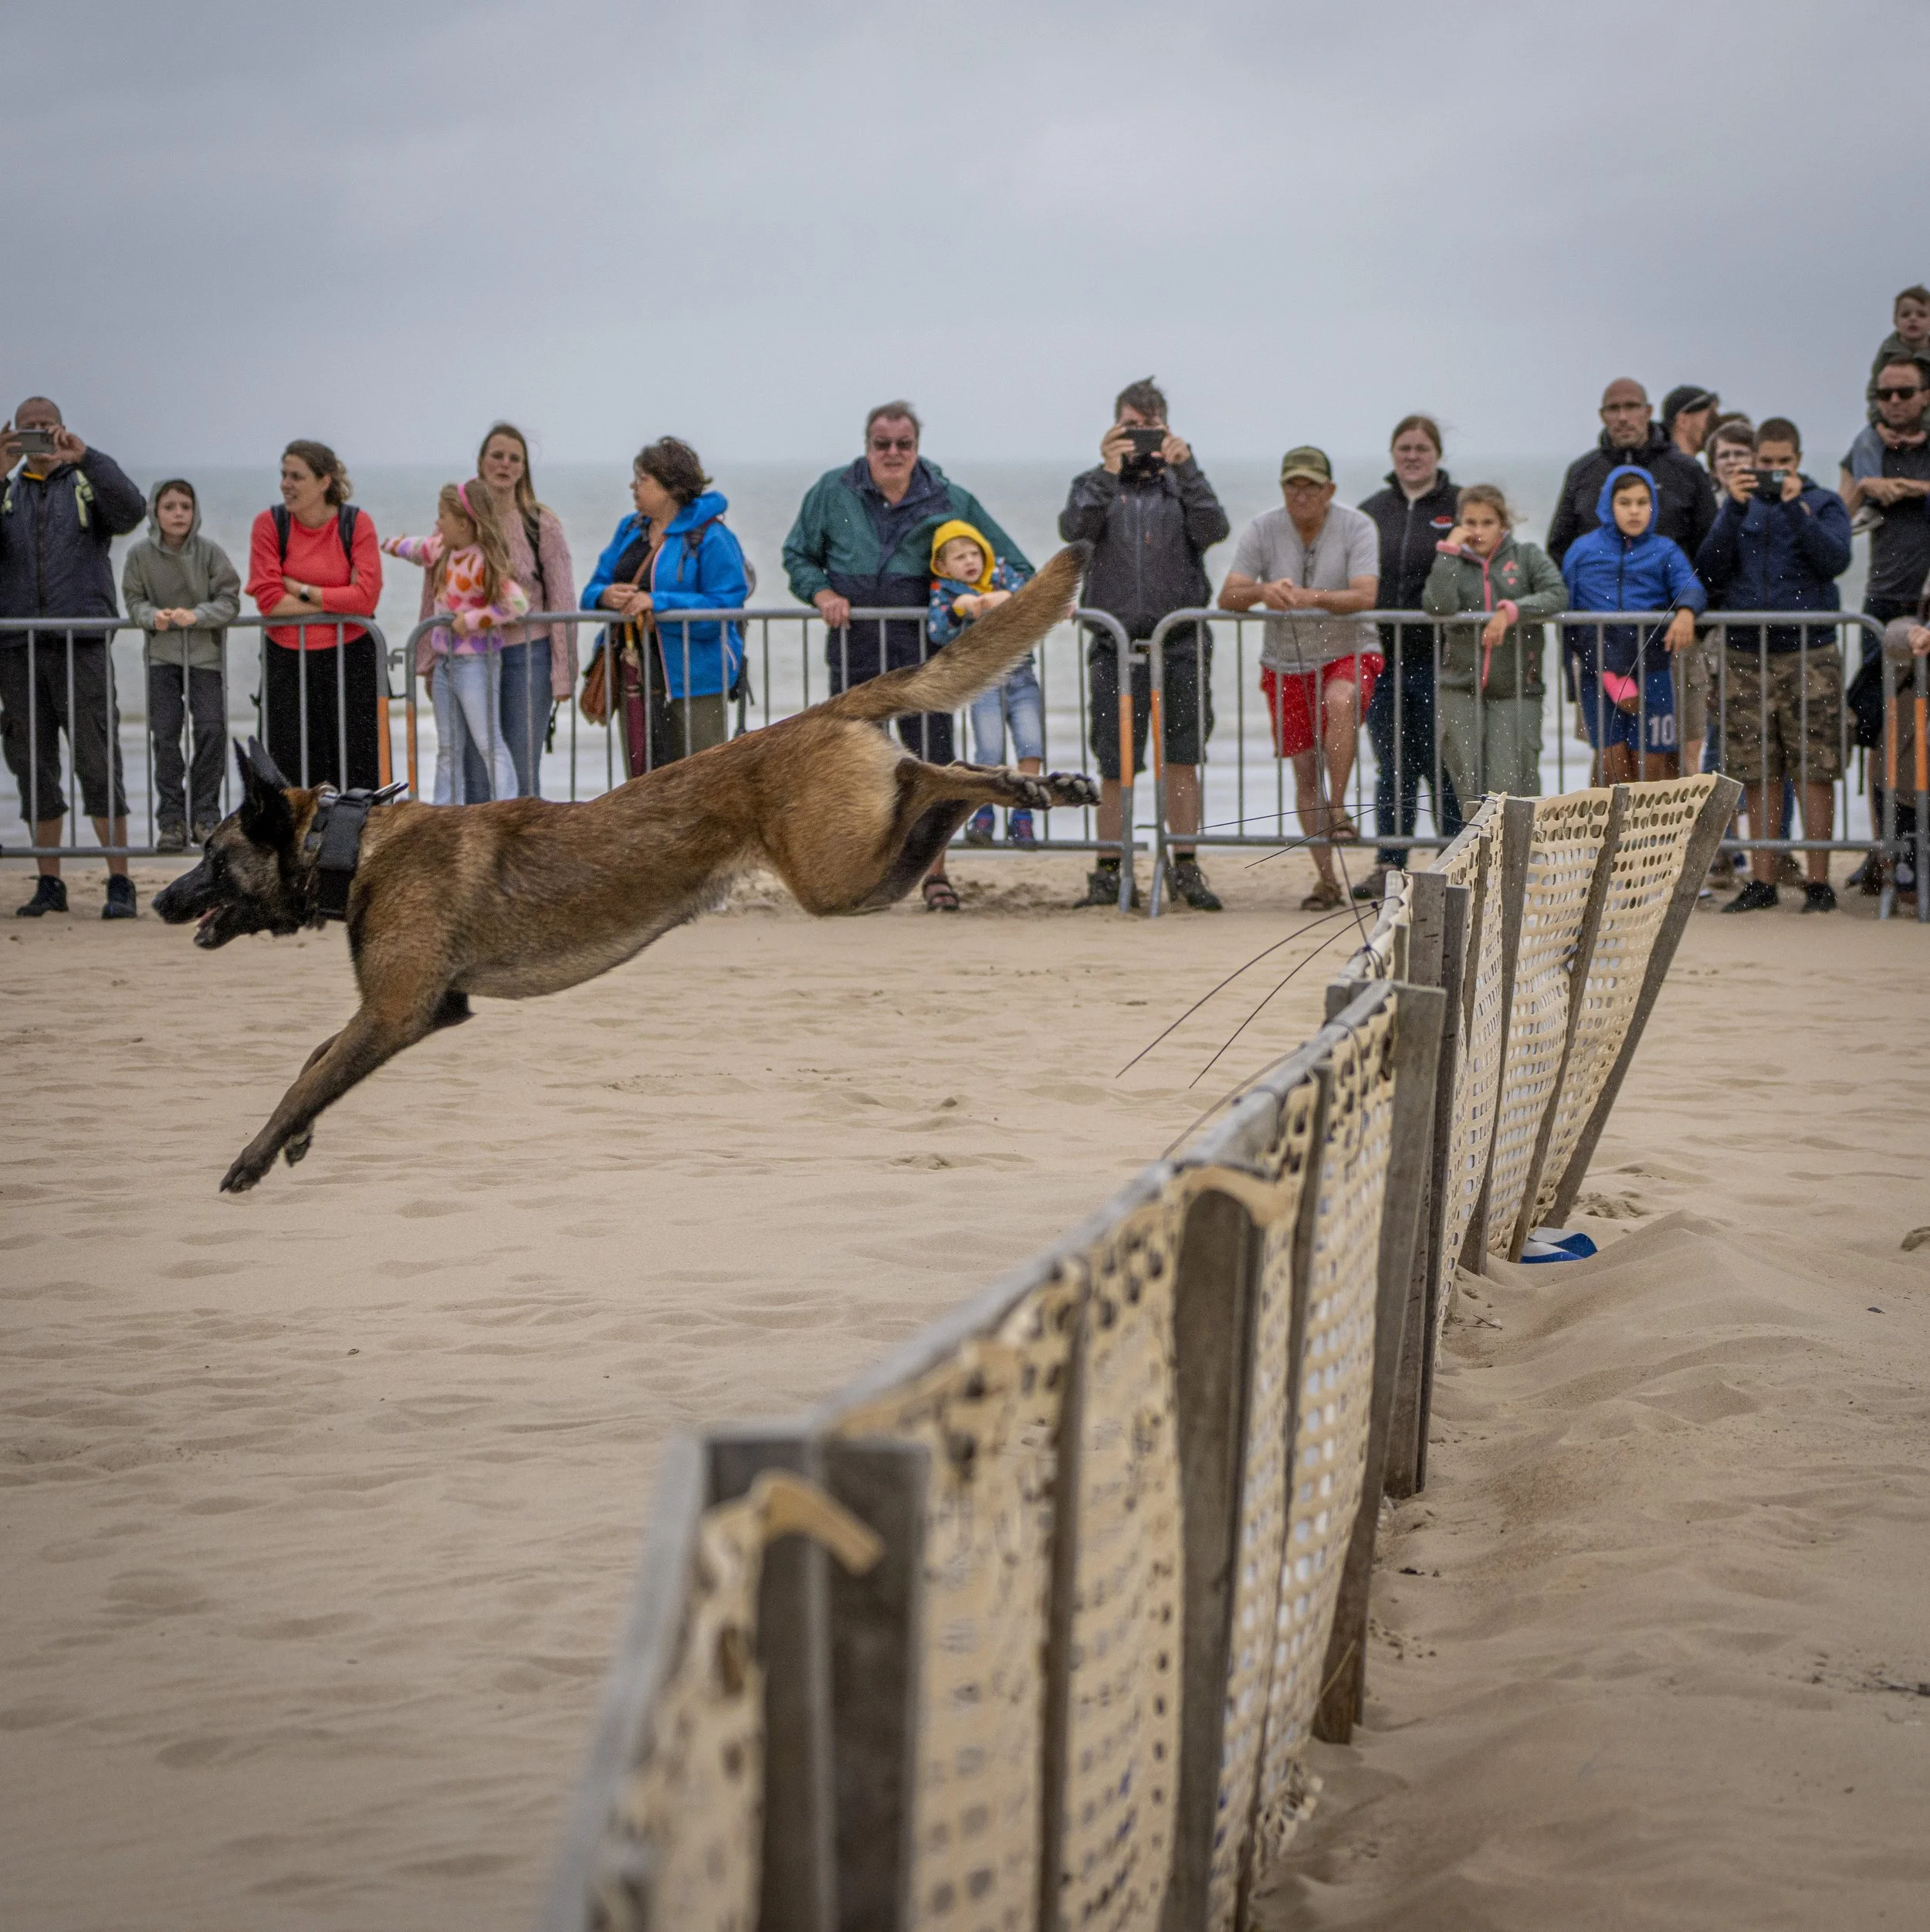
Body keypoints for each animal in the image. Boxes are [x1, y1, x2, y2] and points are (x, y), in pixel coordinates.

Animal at [155, 545, 1097, 1192]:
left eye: (212, 856)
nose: (165, 899)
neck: (349, 842)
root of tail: (820, 712)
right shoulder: (418, 1010)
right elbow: (314, 1060)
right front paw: (296, 1139)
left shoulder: (395, 1013)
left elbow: (308, 1074)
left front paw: (255, 1153)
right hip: (859, 869)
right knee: (936, 777)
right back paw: (1039, 781)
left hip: (839, 875)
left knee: (933, 781)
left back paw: (1018, 783)